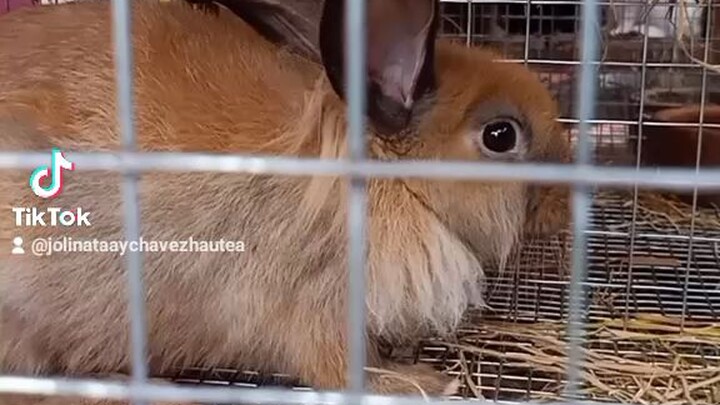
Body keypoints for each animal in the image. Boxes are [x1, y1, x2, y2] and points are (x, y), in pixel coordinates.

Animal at [0, 0, 572, 402]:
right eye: (500, 136)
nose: (564, 208)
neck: (378, 175)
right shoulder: (315, 306)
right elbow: (343, 369)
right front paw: (424, 383)